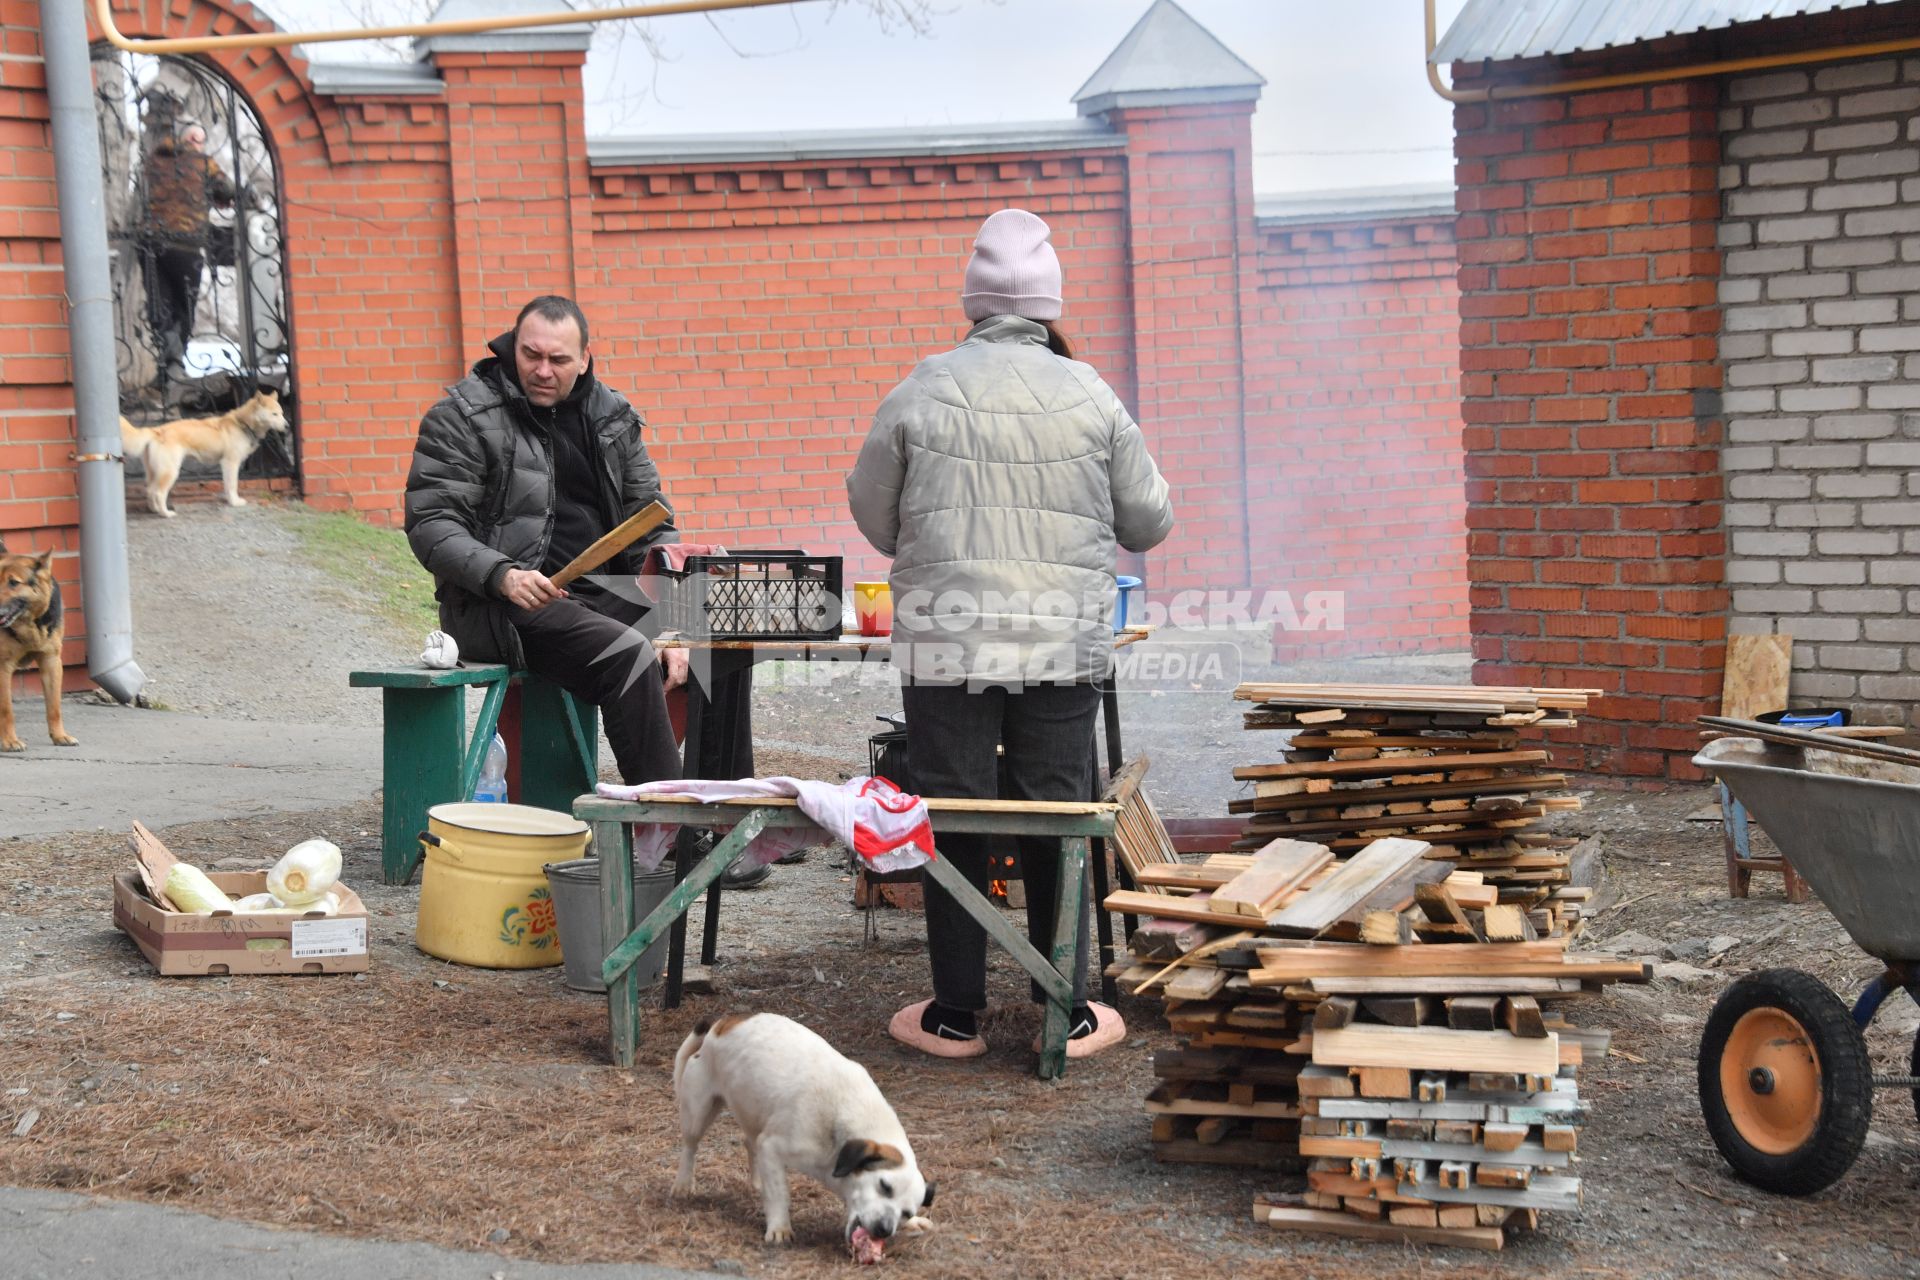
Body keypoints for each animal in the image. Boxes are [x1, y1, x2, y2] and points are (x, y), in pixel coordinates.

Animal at [0, 537, 76, 752]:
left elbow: (54, 706)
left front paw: (59, 736)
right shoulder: (2, 668)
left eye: (13, 582)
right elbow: (6, 710)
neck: (27, 623)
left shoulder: (51, 662)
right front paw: (9, 741)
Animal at [121, 387, 288, 518]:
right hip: (170, 471)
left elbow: (227, 486)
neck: (243, 424)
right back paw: (166, 513)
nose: (287, 426)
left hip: (154, 472)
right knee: (159, 493)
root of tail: (157, 431)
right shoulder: (230, 463)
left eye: (281, 413)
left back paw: (155, 510)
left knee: (150, 490)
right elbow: (232, 485)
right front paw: (235, 502)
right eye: (274, 414)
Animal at [672, 1013, 933, 1258]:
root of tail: (722, 1024)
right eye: (884, 1186)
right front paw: (780, 1228)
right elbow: (779, 1193)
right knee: (690, 1147)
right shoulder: (773, 1147)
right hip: (698, 1113)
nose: (884, 1229)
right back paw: (683, 1184)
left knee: (749, 1142)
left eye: (906, 1212)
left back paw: (757, 1182)